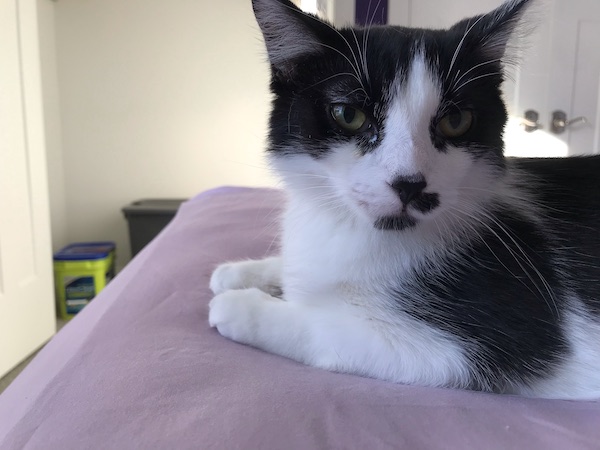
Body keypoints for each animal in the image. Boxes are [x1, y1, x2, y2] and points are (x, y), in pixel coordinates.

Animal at [207, 0, 600, 400]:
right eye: (349, 114)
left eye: (456, 121)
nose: (410, 185)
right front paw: (242, 273)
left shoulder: (484, 343)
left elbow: (330, 331)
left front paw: (239, 307)